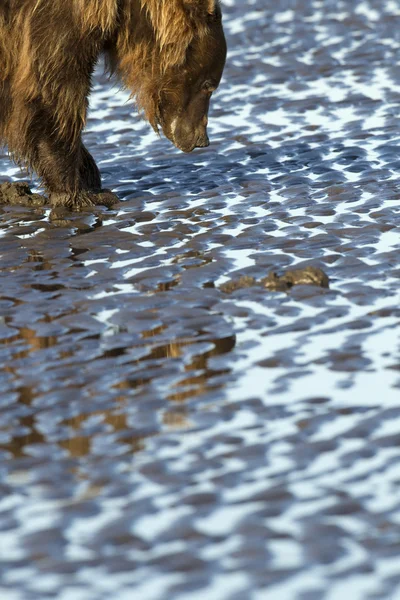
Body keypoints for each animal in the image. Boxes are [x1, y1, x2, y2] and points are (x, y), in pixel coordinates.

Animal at [0, 1, 225, 209]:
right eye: (208, 86)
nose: (202, 139)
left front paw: (91, 178)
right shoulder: (54, 22)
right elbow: (53, 96)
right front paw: (80, 193)